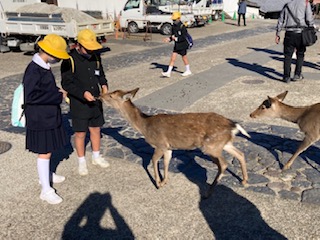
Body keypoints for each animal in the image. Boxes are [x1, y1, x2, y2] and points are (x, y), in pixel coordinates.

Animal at [100, 88, 250, 197]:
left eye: (111, 95)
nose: (100, 96)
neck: (144, 126)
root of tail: (233, 126)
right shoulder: (168, 148)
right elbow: (166, 162)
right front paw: (165, 181)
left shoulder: (159, 144)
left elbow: (153, 160)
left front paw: (158, 184)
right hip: (224, 143)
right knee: (240, 154)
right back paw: (244, 181)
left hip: (210, 146)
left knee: (223, 164)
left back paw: (208, 193)